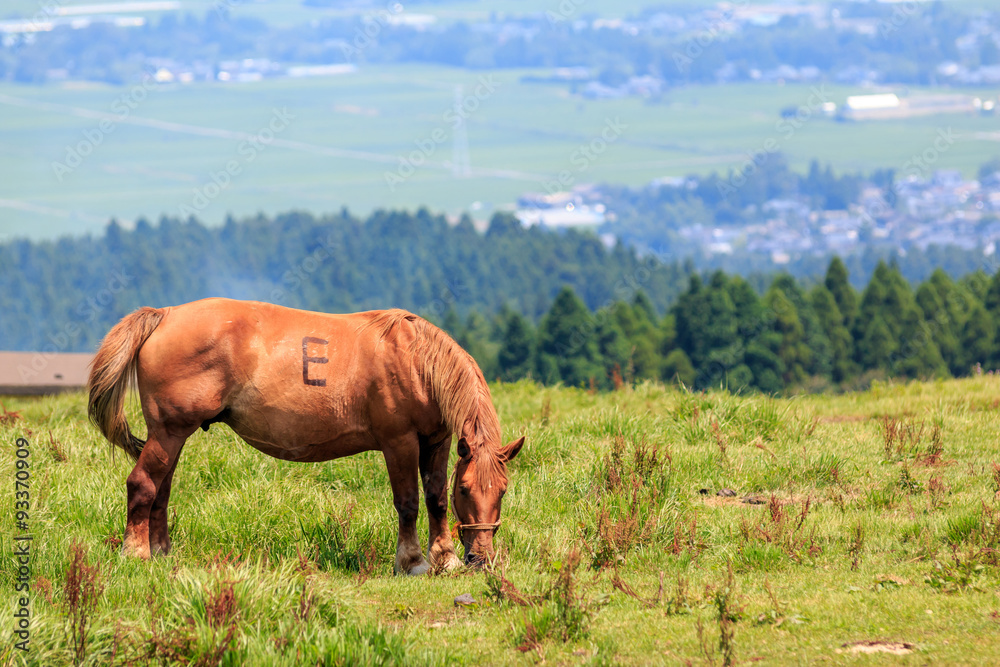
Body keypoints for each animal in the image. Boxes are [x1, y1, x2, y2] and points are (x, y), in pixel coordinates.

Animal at [87, 298, 524, 574]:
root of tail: (164, 315)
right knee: (142, 484)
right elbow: (409, 503)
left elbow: (435, 499)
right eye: (466, 490)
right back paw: (136, 553)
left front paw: (444, 557)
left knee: (161, 489)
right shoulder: (399, 441)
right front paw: (413, 561)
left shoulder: (437, 440)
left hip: (170, 436)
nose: (481, 559)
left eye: (501, 491)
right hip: (169, 431)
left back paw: (160, 552)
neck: (417, 361)